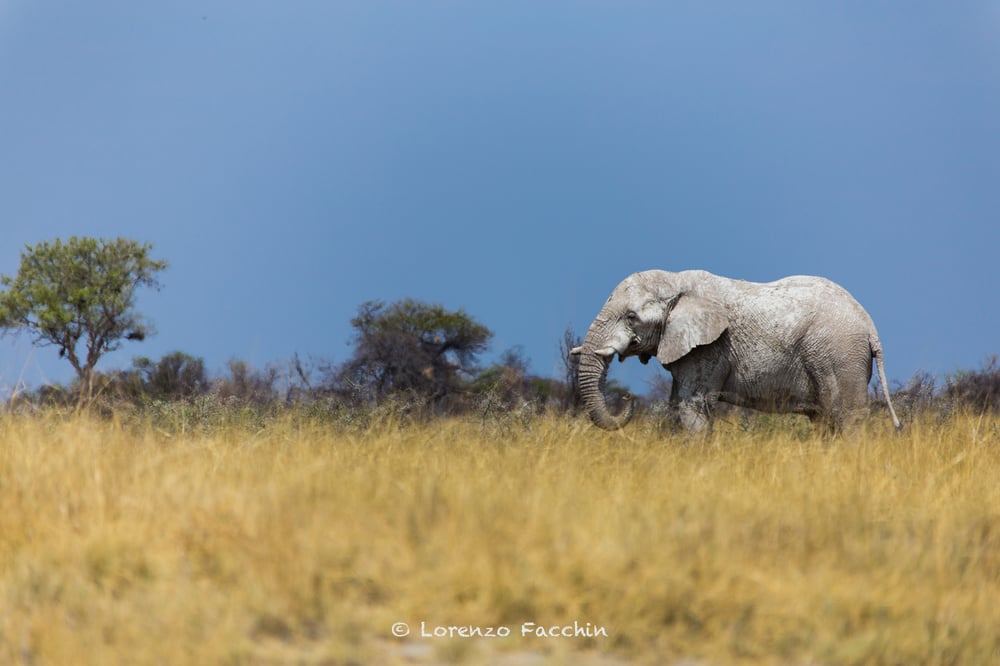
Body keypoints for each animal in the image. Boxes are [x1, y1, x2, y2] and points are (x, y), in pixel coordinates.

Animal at [571, 270, 902, 433]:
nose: (627, 397)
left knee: (846, 418)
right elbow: (677, 407)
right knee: (824, 421)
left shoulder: (709, 348)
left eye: (631, 317)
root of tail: (870, 328)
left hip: (839, 354)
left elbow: (693, 408)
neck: (676, 280)